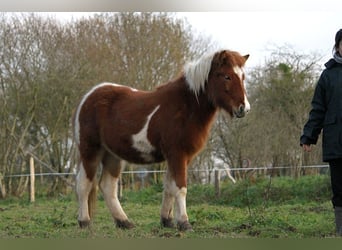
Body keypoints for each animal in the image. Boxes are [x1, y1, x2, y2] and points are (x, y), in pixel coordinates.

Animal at [73, 49, 250, 231]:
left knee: (108, 186)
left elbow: (169, 187)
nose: (243, 108)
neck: (186, 106)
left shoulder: (179, 157)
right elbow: (180, 188)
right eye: (226, 76)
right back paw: (84, 221)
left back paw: (124, 222)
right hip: (90, 151)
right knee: (84, 184)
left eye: (243, 76)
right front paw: (184, 222)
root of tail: (89, 97)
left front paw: (167, 220)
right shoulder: (177, 154)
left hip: (113, 155)